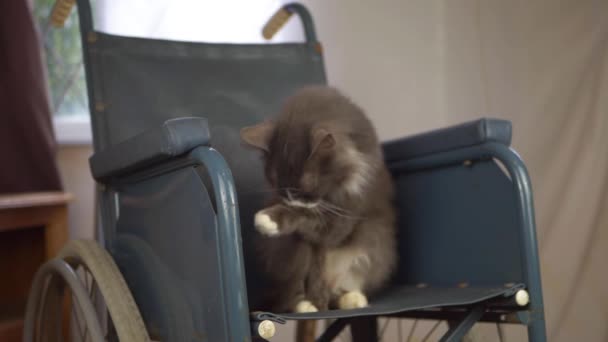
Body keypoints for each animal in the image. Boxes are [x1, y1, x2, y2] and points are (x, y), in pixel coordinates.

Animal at [240, 85, 396, 312]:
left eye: (308, 183)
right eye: (275, 180)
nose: (291, 199)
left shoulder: (346, 213)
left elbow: (313, 220)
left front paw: (268, 219)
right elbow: (314, 263)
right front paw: (314, 301)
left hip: (374, 241)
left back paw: (351, 299)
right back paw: (305, 305)